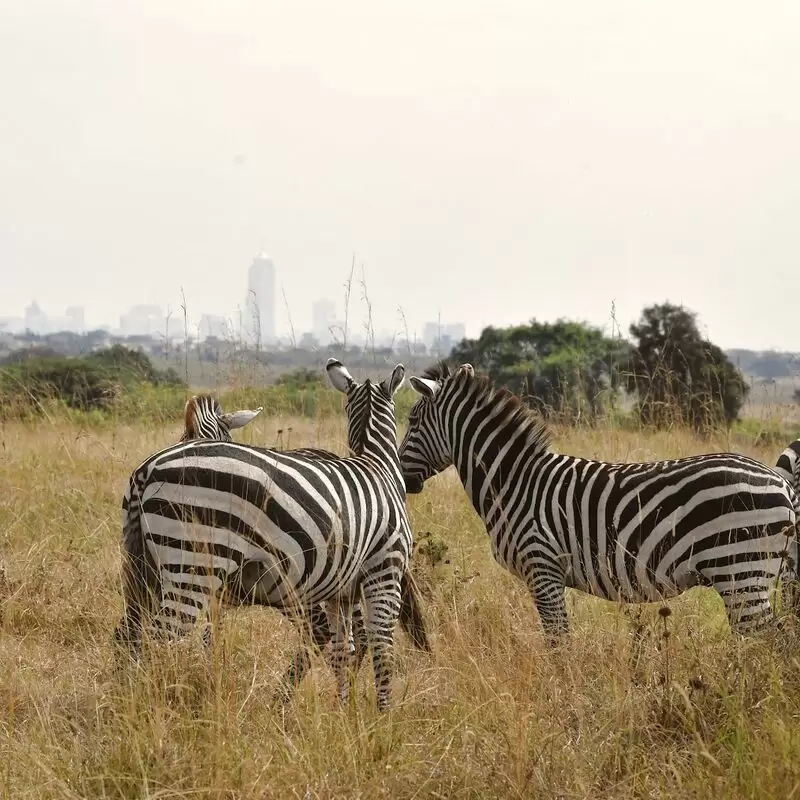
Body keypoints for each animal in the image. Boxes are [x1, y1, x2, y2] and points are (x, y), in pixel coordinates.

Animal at [119, 360, 418, 708]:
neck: (376, 465)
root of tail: (147, 470)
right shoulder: (385, 568)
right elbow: (382, 646)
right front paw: (382, 716)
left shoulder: (341, 589)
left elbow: (345, 648)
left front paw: (344, 710)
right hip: (193, 567)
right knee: (162, 643)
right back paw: (162, 707)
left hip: (146, 569)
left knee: (128, 636)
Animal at [400, 362, 800, 644]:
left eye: (412, 420)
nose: (402, 479)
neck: (514, 482)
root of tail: (780, 480)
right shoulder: (547, 573)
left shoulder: (542, 567)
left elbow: (559, 644)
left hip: (741, 570)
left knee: (769, 642)